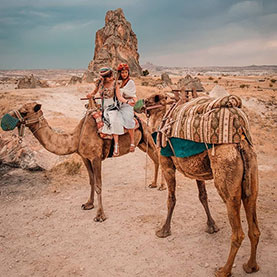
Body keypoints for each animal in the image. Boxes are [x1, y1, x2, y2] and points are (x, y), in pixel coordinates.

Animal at [141, 94, 260, 276]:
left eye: (148, 101)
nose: (140, 106)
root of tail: (240, 136)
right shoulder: (198, 172)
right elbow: (203, 196)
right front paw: (211, 226)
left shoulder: (167, 164)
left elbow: (171, 199)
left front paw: (163, 230)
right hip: (251, 173)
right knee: (253, 225)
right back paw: (251, 266)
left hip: (227, 174)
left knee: (237, 231)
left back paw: (224, 270)